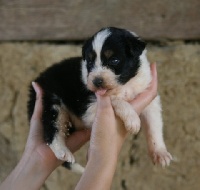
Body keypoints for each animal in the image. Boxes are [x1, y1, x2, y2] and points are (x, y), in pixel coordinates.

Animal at [27, 26, 172, 174]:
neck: (125, 85)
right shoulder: (90, 108)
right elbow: (117, 101)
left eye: (114, 60)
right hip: (51, 102)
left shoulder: (150, 99)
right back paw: (64, 153)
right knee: (51, 131)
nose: (96, 81)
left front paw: (160, 153)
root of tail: (38, 80)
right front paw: (133, 120)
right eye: (90, 61)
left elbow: (154, 126)